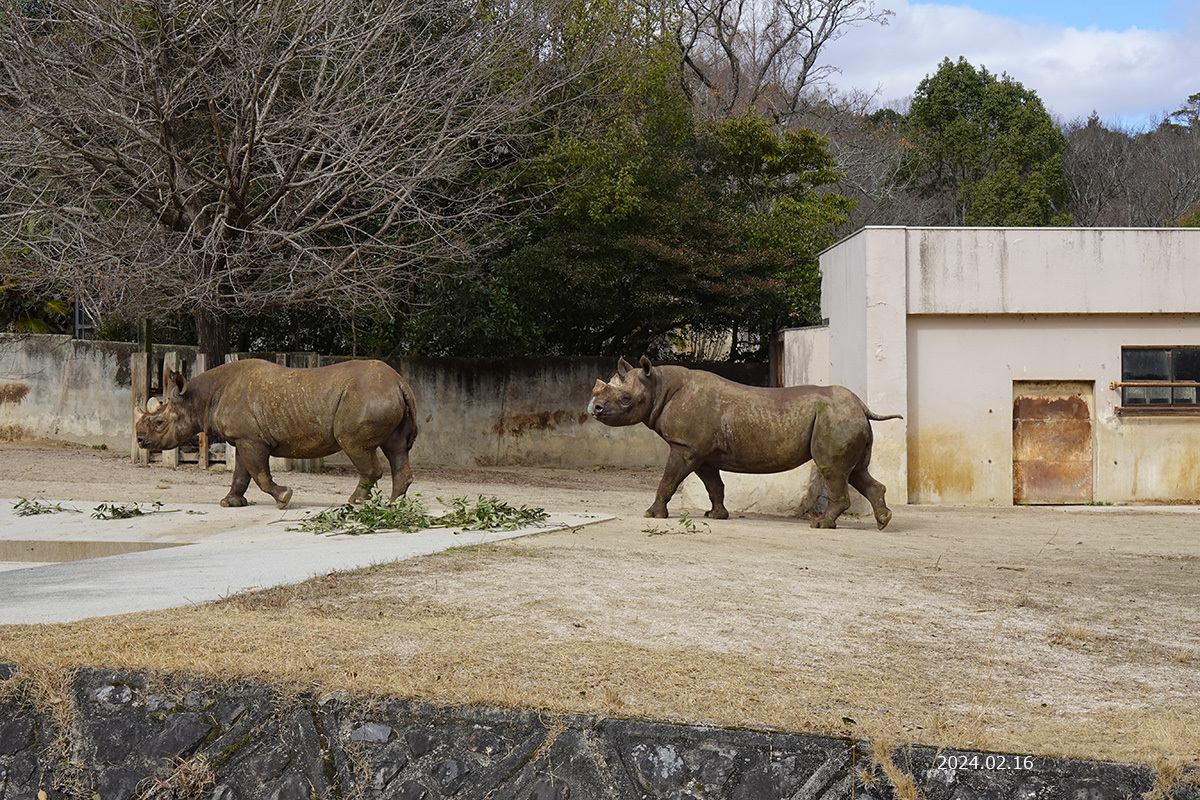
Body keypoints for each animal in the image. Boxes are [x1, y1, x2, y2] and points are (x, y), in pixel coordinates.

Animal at [132, 359, 417, 510]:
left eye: (159, 422)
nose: (140, 441)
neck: (198, 399)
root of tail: (399, 382)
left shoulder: (251, 439)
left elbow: (259, 474)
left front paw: (284, 498)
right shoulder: (244, 439)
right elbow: (241, 474)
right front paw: (230, 503)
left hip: (367, 396)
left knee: (356, 447)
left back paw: (354, 503)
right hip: (382, 394)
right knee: (396, 448)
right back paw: (394, 506)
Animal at [590, 357, 902, 532]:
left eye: (626, 399)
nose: (594, 408)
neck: (658, 385)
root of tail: (862, 406)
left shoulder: (685, 447)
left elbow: (668, 479)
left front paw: (652, 514)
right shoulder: (701, 452)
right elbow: (713, 485)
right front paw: (716, 516)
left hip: (836, 417)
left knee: (833, 470)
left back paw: (821, 525)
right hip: (844, 417)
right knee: (856, 472)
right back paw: (883, 523)